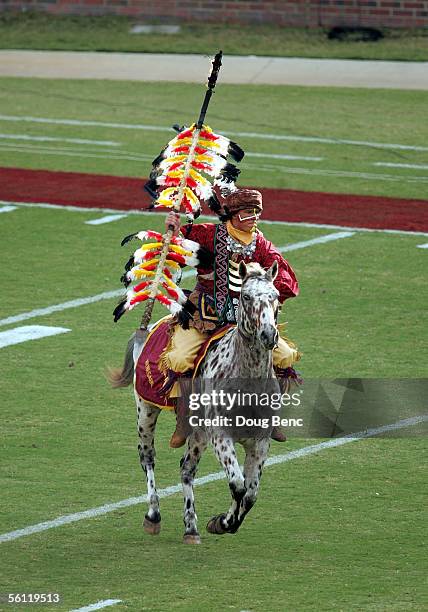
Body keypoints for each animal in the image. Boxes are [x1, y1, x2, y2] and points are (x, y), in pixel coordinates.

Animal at [109, 260, 280, 544]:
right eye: (246, 296)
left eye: (275, 297)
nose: (268, 335)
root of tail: (146, 330)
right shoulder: (221, 436)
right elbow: (238, 485)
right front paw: (222, 522)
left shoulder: (260, 442)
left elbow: (250, 494)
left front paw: (223, 523)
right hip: (146, 411)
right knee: (147, 456)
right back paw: (153, 515)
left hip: (197, 432)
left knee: (186, 469)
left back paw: (191, 527)